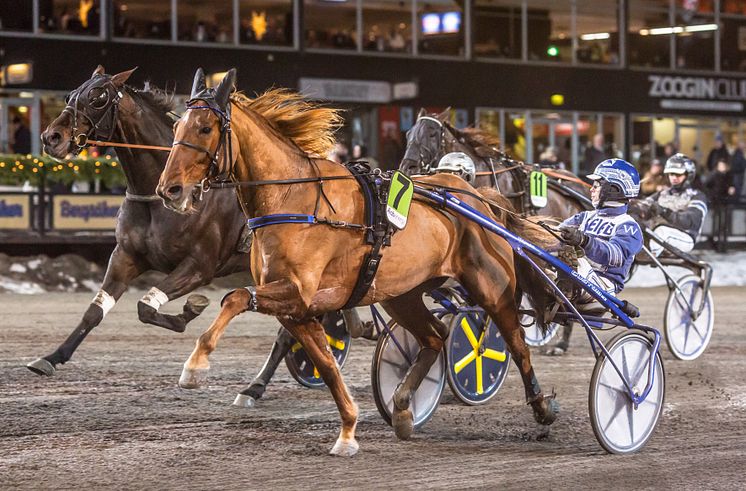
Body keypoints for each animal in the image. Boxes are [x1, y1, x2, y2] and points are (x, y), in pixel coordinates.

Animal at [155, 69, 560, 458]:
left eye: (205, 128)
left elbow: (235, 297)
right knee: (435, 336)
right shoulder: (299, 307)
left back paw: (541, 406)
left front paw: (195, 366)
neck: (294, 199)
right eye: (176, 128)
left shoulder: (297, 292)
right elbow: (327, 366)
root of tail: (478, 196)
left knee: (516, 342)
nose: (169, 189)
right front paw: (348, 431)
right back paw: (402, 408)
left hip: (492, 286)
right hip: (402, 294)